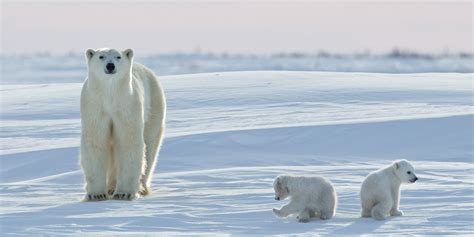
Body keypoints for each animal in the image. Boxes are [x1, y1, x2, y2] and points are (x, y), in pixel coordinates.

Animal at [78, 48, 166, 202]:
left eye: (118, 57)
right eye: (101, 56)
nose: (110, 66)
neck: (110, 95)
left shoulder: (127, 105)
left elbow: (128, 142)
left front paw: (124, 193)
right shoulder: (95, 107)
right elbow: (95, 142)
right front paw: (96, 194)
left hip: (154, 105)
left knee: (150, 147)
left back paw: (141, 187)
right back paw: (110, 187)